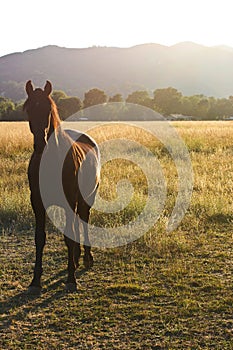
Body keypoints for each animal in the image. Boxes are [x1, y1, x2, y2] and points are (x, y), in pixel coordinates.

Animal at [23, 80, 100, 292]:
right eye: (28, 109)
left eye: (48, 109)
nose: (40, 144)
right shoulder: (37, 202)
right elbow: (39, 238)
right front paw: (35, 281)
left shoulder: (69, 201)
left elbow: (69, 236)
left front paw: (71, 279)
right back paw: (76, 258)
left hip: (86, 198)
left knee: (83, 220)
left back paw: (87, 258)